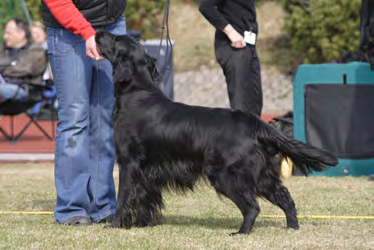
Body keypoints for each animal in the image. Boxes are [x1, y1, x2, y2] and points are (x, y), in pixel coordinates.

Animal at [94, 30, 338, 235]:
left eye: (116, 39)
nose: (98, 32)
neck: (137, 92)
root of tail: (253, 121)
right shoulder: (148, 170)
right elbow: (144, 197)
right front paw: (142, 224)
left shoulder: (129, 162)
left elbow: (123, 196)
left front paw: (115, 225)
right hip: (262, 176)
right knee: (286, 198)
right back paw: (292, 227)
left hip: (227, 176)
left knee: (253, 207)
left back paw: (241, 233)